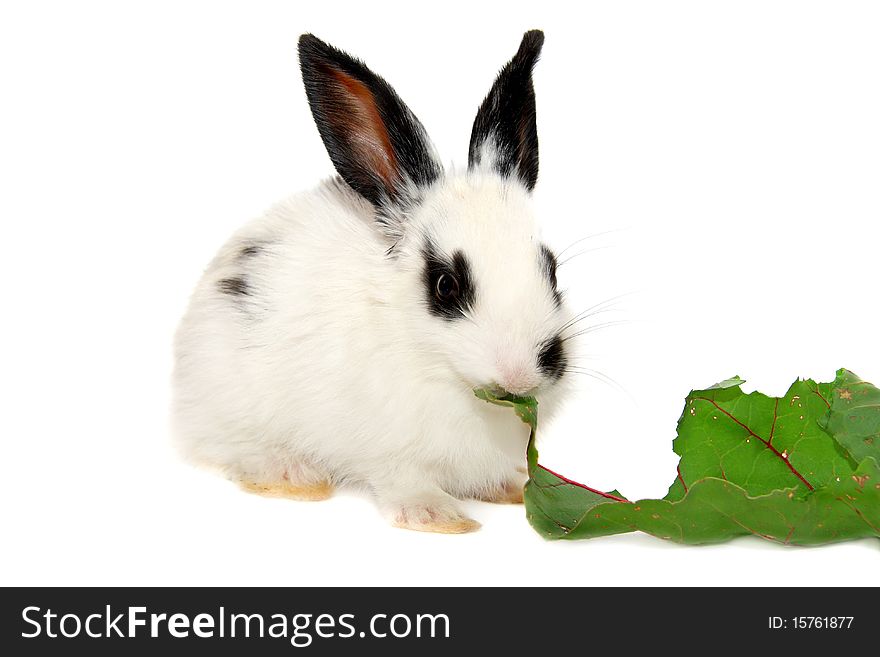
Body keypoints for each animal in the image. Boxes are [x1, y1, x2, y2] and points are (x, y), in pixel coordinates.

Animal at [170, 30, 576, 532]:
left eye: (552, 268)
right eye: (445, 285)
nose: (519, 374)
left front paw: (510, 489)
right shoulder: (388, 449)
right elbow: (403, 479)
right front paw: (437, 516)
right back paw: (292, 475)